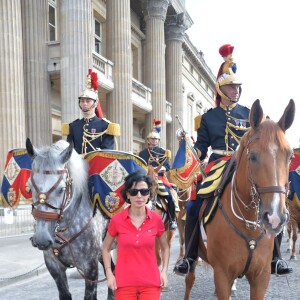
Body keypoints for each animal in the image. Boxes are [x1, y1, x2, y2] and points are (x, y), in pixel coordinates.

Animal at [193, 99, 294, 300]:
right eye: (252, 156)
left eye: (290, 156)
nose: (275, 218)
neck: (249, 226)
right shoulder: (222, 275)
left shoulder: (261, 277)